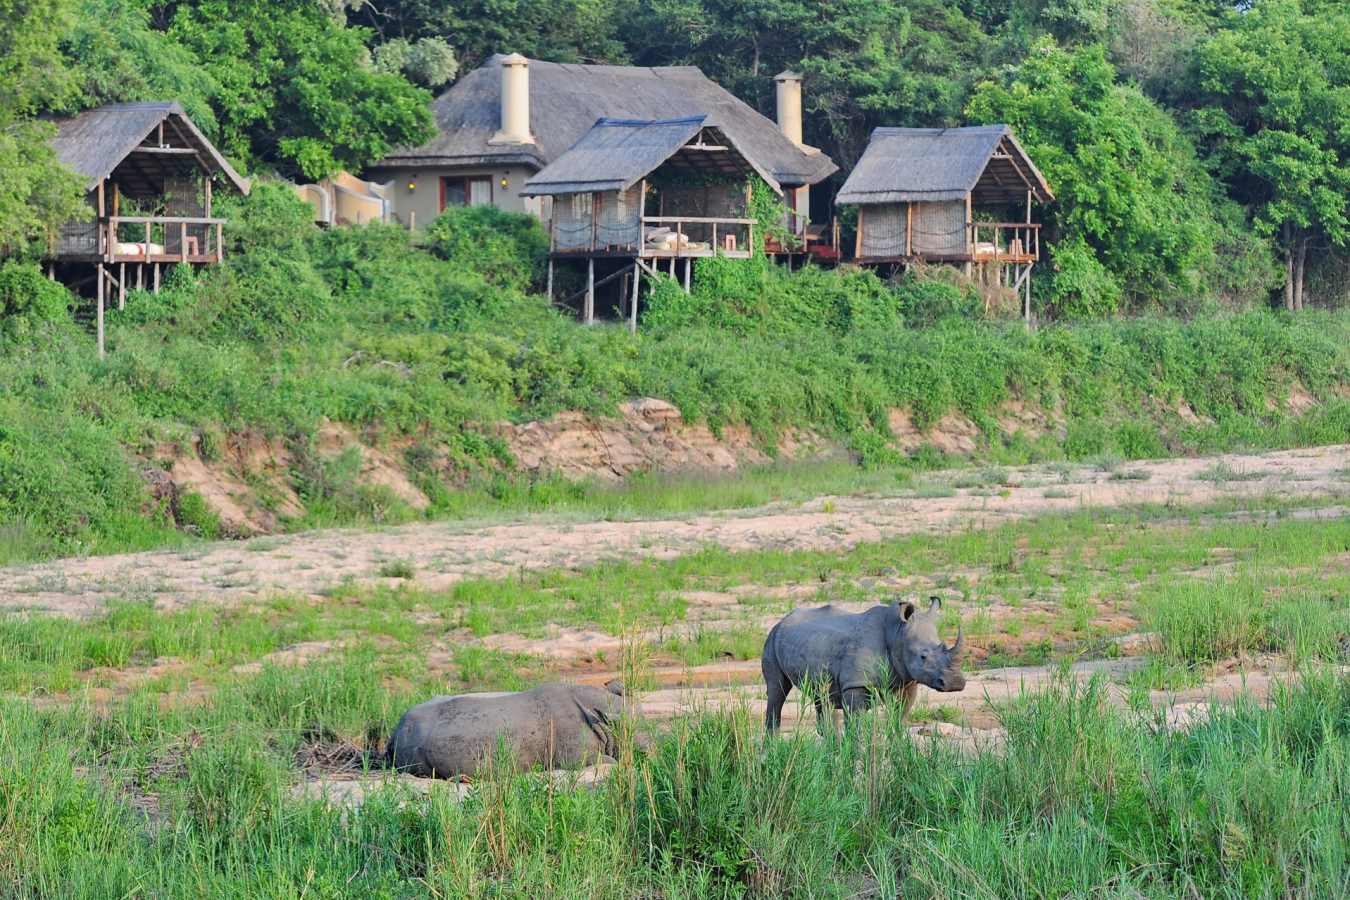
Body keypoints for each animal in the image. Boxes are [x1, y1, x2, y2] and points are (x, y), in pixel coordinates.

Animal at [761, 597, 965, 733]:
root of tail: (782, 620)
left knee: (821, 697)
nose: (955, 683)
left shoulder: (906, 681)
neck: (897, 633)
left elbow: (898, 719)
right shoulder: (856, 684)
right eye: (923, 656)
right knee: (777, 690)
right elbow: (856, 728)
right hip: (772, 638)